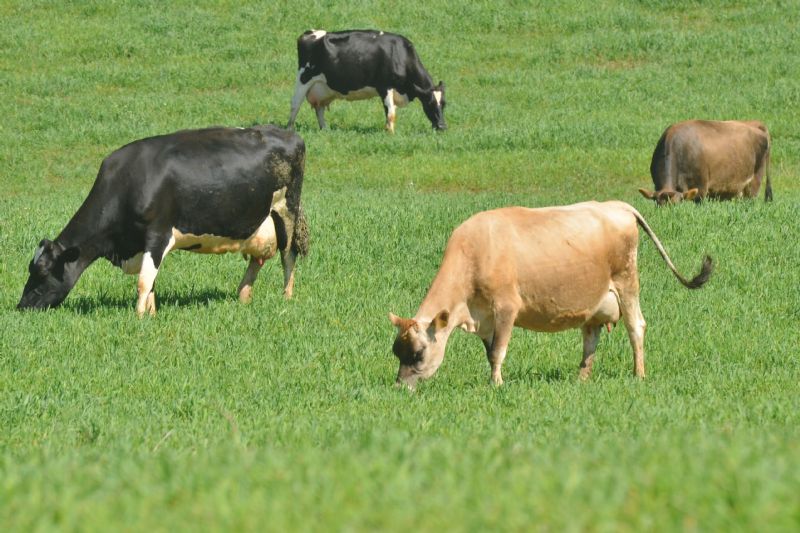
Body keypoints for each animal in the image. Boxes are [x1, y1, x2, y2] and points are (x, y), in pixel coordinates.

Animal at [18, 125, 309, 317]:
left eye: (42, 272)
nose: (21, 307)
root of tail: (287, 132)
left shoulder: (157, 234)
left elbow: (143, 282)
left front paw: (138, 317)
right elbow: (151, 282)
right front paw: (152, 314)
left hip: (287, 208)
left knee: (288, 255)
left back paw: (286, 298)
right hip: (259, 222)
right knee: (257, 260)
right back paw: (244, 296)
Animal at [287, 29, 446, 133]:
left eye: (444, 104)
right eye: (429, 103)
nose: (442, 127)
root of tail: (308, 33)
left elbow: (391, 112)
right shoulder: (385, 86)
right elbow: (391, 113)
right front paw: (390, 133)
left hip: (322, 88)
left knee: (319, 108)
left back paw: (325, 130)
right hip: (303, 79)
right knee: (295, 105)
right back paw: (289, 129)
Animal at [389, 201, 713, 389]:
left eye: (418, 353)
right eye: (396, 352)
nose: (400, 386)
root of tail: (618, 205)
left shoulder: (506, 308)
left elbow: (497, 352)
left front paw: (496, 385)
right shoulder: (484, 319)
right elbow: (489, 351)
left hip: (627, 281)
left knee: (636, 327)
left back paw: (639, 374)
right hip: (594, 302)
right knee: (590, 339)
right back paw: (581, 380)